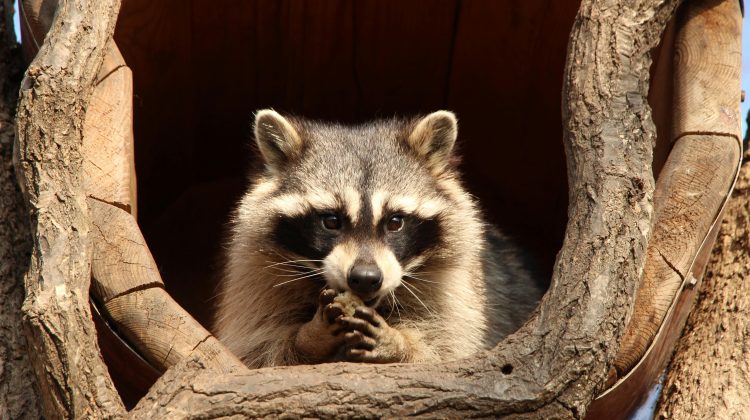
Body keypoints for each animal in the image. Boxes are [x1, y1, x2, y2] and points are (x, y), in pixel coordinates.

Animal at [213, 109, 543, 368]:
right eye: (331, 221)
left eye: (395, 222)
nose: (365, 278)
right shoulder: (256, 278)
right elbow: (259, 349)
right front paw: (309, 337)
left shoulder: (461, 290)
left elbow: (448, 349)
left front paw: (399, 343)